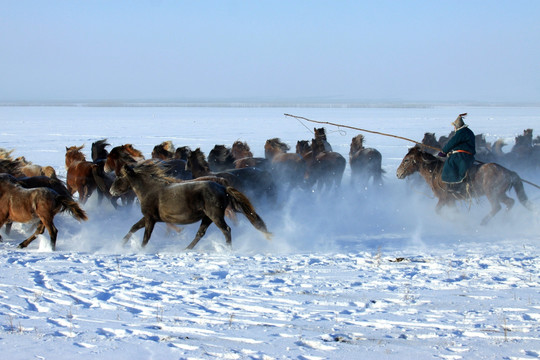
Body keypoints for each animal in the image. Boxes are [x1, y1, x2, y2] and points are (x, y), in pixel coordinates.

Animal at [396, 146, 532, 225]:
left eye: (407, 160)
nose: (398, 173)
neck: (435, 171)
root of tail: (509, 172)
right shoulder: (450, 200)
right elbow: (453, 211)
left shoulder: (444, 198)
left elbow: (438, 211)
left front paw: (454, 220)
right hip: (500, 194)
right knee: (510, 202)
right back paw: (504, 220)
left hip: (492, 194)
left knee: (497, 207)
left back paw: (484, 222)